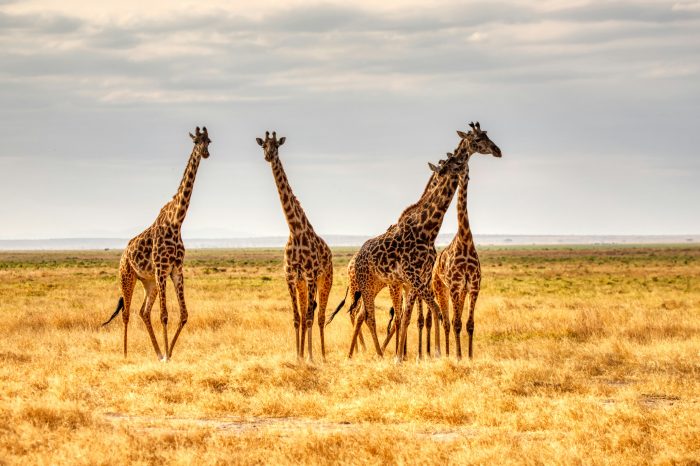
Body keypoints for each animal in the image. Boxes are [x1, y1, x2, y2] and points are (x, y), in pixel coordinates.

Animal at [101, 125, 211, 362]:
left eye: (209, 141)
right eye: (196, 141)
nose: (206, 153)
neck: (176, 221)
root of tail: (123, 254)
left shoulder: (176, 270)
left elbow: (184, 314)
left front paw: (167, 354)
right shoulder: (162, 269)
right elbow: (164, 315)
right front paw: (168, 356)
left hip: (148, 282)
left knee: (143, 311)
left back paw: (157, 352)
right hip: (127, 276)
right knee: (126, 313)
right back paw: (125, 354)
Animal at [258, 129, 334, 362]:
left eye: (277, 146)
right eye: (263, 145)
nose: (268, 156)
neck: (295, 231)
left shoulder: (310, 277)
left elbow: (308, 317)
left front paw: (309, 357)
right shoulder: (291, 277)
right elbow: (296, 317)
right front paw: (297, 356)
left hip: (325, 280)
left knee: (319, 315)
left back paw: (323, 356)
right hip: (302, 285)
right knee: (306, 312)